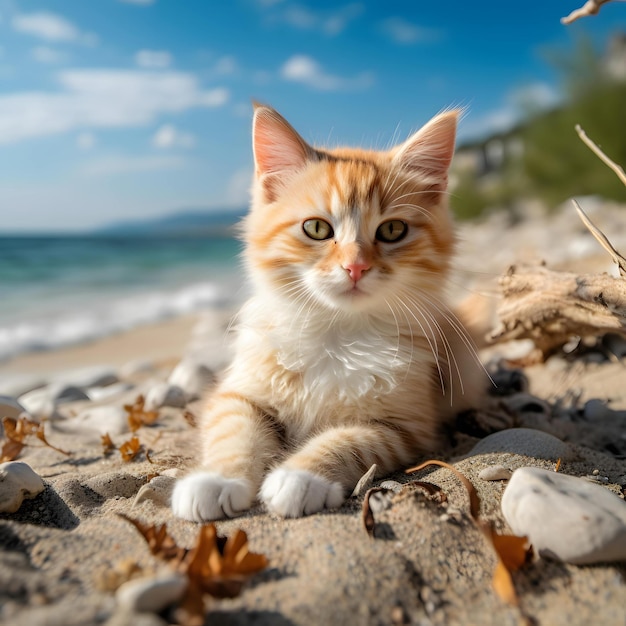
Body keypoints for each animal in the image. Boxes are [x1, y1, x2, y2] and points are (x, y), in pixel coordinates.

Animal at [171, 105, 482, 520]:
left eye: (393, 230)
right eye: (317, 228)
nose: (356, 267)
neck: (337, 332)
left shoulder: (403, 426)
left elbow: (345, 441)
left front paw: (300, 478)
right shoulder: (239, 393)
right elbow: (234, 433)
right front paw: (217, 480)